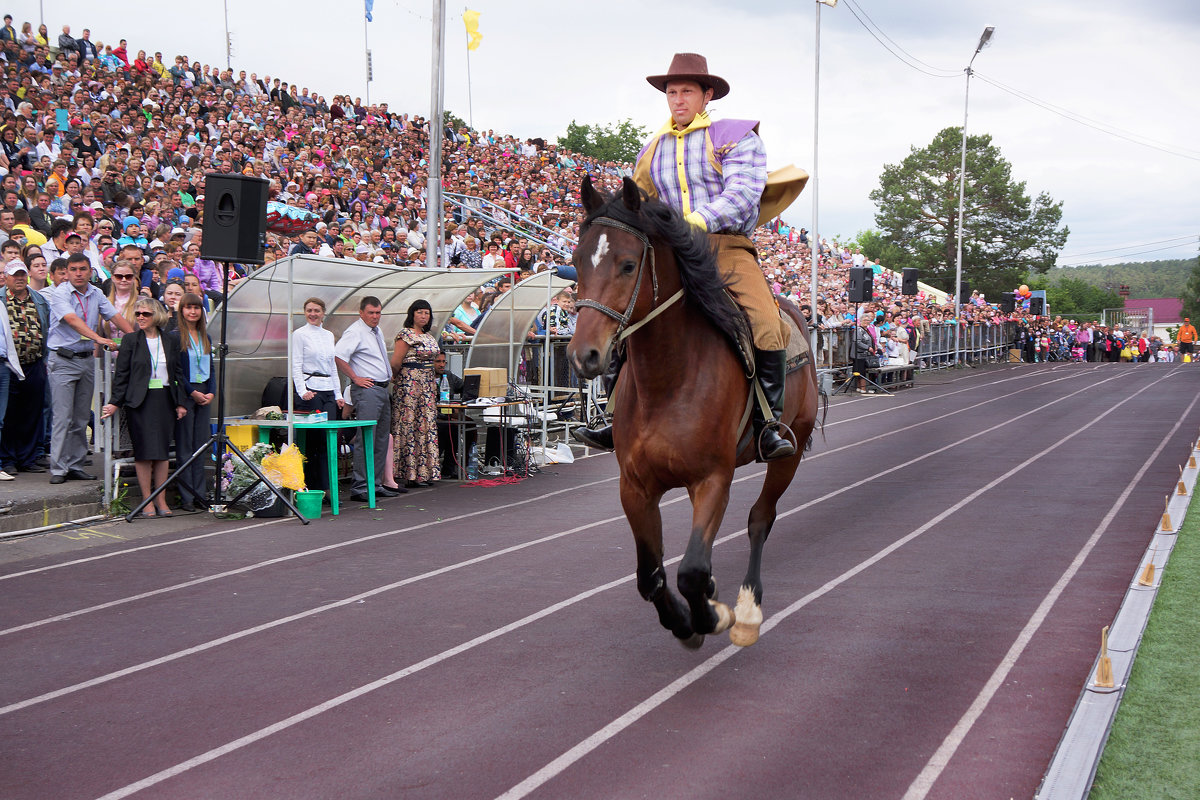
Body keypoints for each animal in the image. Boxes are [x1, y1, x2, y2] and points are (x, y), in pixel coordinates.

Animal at [566, 176, 820, 652]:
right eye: (576, 263)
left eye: (628, 265)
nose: (583, 355)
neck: (668, 382)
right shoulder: (636, 487)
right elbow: (651, 576)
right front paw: (685, 623)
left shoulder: (713, 478)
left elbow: (691, 571)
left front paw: (711, 618)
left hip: (789, 453)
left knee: (761, 519)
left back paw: (746, 612)